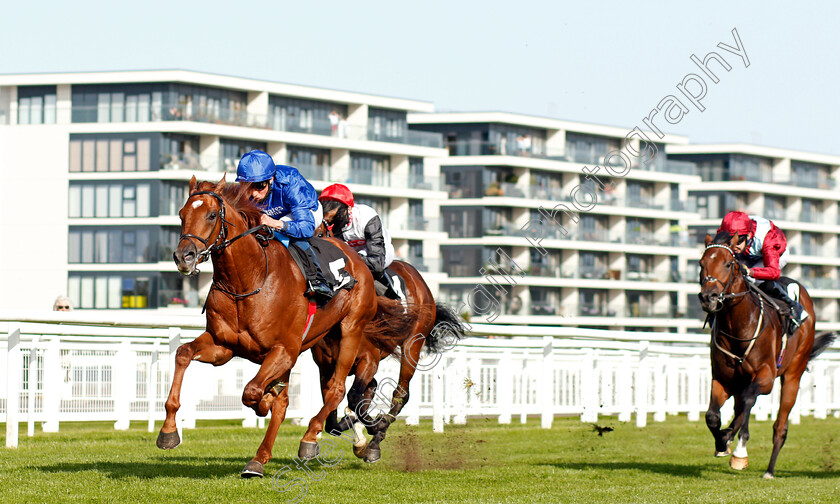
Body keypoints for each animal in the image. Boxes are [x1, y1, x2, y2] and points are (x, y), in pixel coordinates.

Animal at [162, 175, 398, 478]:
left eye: (212, 215)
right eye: (182, 215)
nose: (184, 256)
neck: (249, 280)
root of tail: (360, 260)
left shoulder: (284, 350)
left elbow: (252, 391)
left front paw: (264, 401)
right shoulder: (223, 346)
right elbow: (183, 354)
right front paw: (168, 432)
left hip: (350, 330)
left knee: (335, 389)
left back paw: (310, 438)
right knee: (293, 401)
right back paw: (258, 460)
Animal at [700, 234, 832, 478]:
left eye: (728, 264)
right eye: (701, 263)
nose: (708, 297)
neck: (738, 326)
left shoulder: (766, 377)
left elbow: (749, 401)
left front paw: (739, 452)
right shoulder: (722, 379)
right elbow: (712, 416)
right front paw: (722, 442)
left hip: (793, 375)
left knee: (779, 426)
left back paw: (769, 470)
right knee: (739, 409)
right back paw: (727, 437)